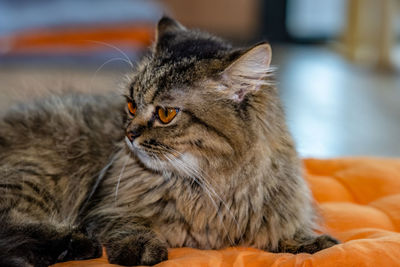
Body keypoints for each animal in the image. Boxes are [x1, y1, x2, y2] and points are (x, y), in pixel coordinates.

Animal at [0, 17, 338, 266]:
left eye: (165, 114)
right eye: (132, 105)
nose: (129, 134)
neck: (200, 187)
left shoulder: (276, 213)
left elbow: (287, 230)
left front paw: (315, 243)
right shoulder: (108, 208)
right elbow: (130, 225)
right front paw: (140, 249)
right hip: (38, 175)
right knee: (11, 225)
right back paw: (75, 245)